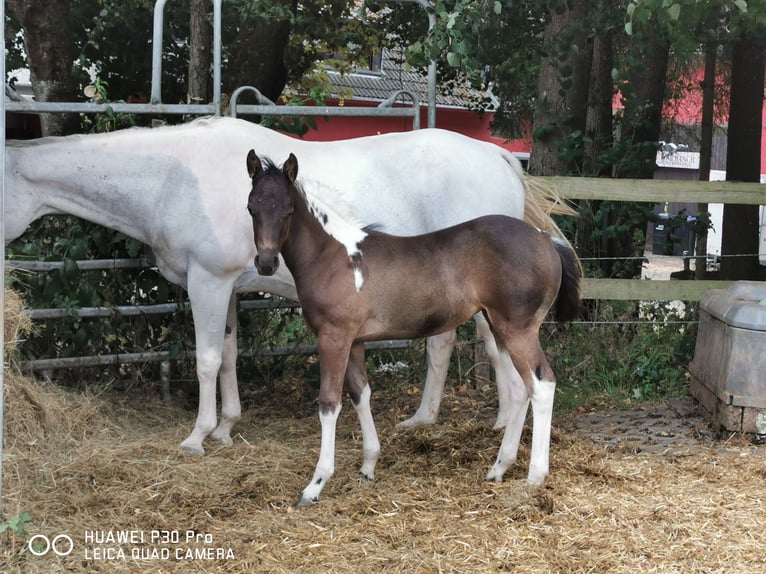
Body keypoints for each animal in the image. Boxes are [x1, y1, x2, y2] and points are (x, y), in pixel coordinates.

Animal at [4, 116, 568, 454]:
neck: (175, 176)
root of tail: (496, 156)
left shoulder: (207, 283)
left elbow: (206, 359)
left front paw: (198, 435)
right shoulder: (228, 288)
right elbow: (229, 356)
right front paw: (227, 426)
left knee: (489, 350)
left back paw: (496, 426)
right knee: (456, 346)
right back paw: (436, 420)